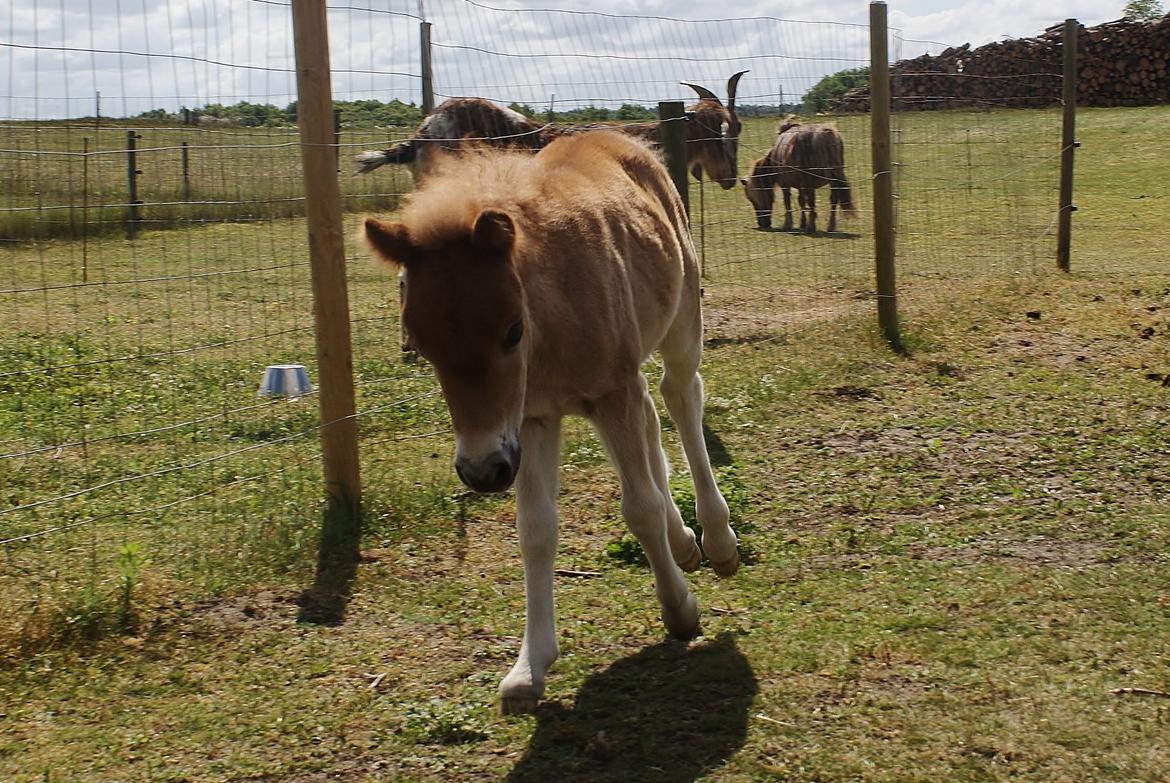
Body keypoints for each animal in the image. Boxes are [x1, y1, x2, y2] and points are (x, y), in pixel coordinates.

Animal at [360, 129, 734, 716]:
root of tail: (623, 138)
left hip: (679, 325)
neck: (553, 315)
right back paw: (684, 544)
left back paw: (717, 541)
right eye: (420, 345)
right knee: (653, 425)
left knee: (680, 399)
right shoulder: (532, 420)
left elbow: (641, 508)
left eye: (512, 330)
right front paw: (529, 666)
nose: (481, 471)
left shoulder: (609, 393)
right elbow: (536, 531)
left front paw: (678, 608)